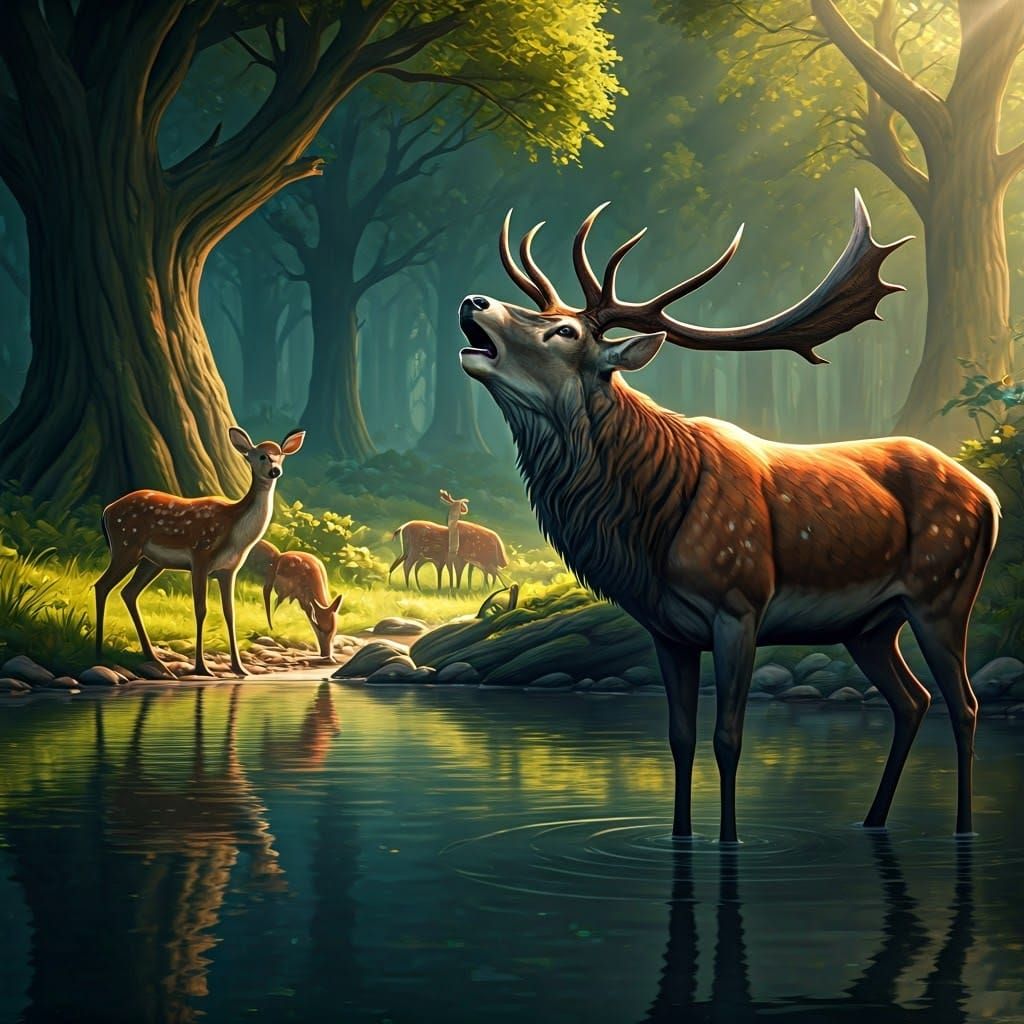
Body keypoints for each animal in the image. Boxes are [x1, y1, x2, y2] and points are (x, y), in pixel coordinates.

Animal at [94, 427, 306, 678]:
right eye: (261, 456)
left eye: (280, 455)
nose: (275, 470)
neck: (234, 531)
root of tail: (107, 510)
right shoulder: (200, 557)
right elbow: (201, 610)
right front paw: (202, 667)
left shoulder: (229, 570)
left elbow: (229, 613)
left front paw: (240, 668)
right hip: (126, 545)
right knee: (102, 585)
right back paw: (98, 651)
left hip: (151, 561)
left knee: (128, 592)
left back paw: (152, 656)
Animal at [459, 192, 999, 842]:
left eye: (563, 330)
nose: (472, 301)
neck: (651, 526)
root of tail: (990, 497)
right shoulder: (666, 628)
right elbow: (679, 738)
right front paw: (679, 836)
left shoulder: (740, 604)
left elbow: (728, 738)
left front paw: (730, 839)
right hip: (868, 624)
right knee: (912, 700)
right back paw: (871, 822)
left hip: (943, 594)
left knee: (964, 704)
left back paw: (964, 829)